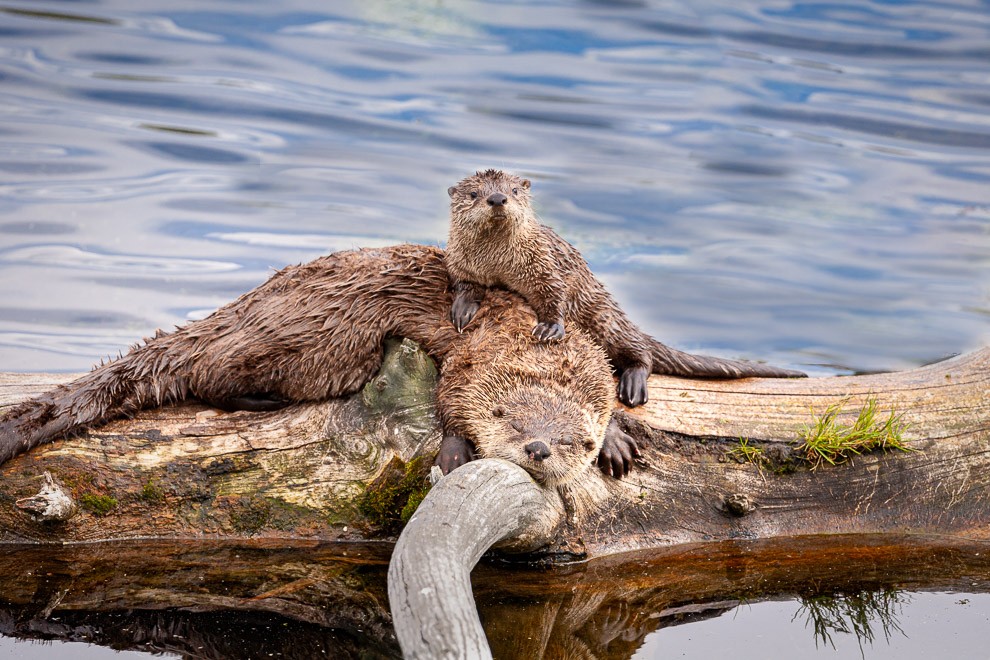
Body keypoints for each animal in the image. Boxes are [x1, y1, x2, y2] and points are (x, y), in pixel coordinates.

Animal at [0, 245, 636, 482]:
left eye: (572, 441)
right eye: (514, 424)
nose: (539, 450)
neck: (532, 346)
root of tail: (242, 308)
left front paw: (616, 440)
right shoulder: (469, 358)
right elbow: (452, 401)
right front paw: (455, 449)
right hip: (312, 338)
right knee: (209, 375)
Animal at [448, 169, 808, 408]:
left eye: (514, 190)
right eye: (474, 194)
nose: (497, 198)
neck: (500, 262)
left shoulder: (545, 264)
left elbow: (554, 294)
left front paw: (550, 327)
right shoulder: (461, 260)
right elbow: (464, 282)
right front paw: (463, 308)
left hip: (605, 316)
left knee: (640, 352)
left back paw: (633, 385)